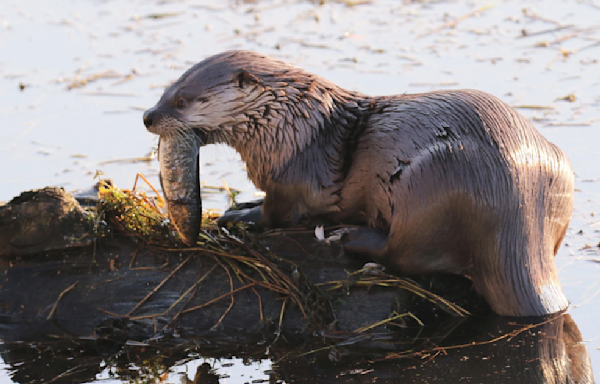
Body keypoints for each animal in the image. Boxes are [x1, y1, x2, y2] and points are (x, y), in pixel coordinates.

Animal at [143, 49, 576, 316]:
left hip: (433, 185)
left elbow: (278, 212)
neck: (290, 127)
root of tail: (519, 211)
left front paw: (241, 216)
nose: (148, 116)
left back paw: (352, 238)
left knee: (404, 255)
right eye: (165, 90)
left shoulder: (292, 177)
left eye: (182, 101)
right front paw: (242, 205)